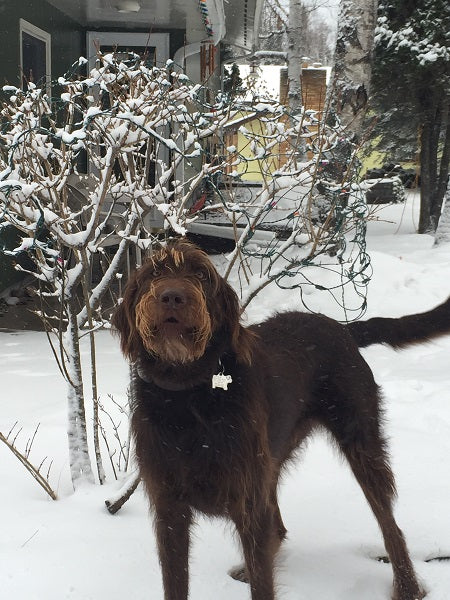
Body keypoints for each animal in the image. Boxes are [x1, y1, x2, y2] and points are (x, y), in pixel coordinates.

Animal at [111, 239, 450, 600]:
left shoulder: (248, 503)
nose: (172, 296)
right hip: (276, 452)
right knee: (278, 524)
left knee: (390, 524)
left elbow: (263, 580)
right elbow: (175, 582)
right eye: (152, 274)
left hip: (360, 442)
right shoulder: (169, 509)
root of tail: (341, 328)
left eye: (202, 275)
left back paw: (408, 587)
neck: (187, 395)